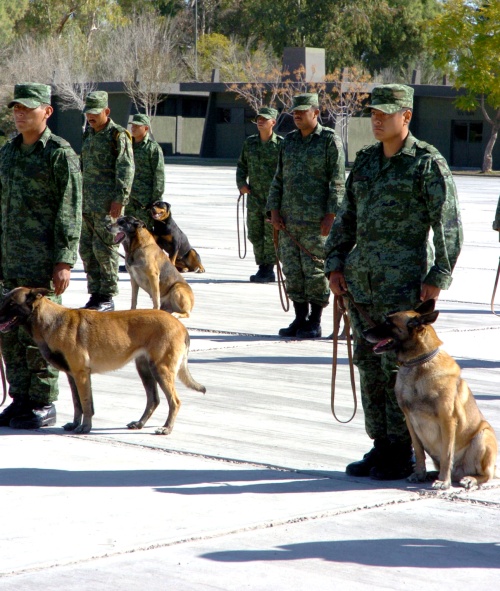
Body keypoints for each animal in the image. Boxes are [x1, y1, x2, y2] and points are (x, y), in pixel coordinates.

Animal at [0, 286, 205, 434]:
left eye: (11, 304)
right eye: (4, 301)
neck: (51, 321)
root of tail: (180, 325)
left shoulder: (82, 375)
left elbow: (86, 404)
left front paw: (85, 427)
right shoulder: (73, 376)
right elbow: (77, 405)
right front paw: (75, 424)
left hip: (161, 370)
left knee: (174, 402)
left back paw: (167, 428)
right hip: (146, 370)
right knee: (153, 400)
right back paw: (139, 423)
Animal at [362, 300, 498, 490]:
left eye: (389, 323)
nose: (363, 332)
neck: (417, 364)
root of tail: (460, 473)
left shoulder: (447, 420)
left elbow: (447, 454)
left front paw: (444, 482)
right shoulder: (410, 421)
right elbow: (419, 452)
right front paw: (420, 474)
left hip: (483, 436)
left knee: (486, 475)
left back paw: (468, 479)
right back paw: (433, 474)